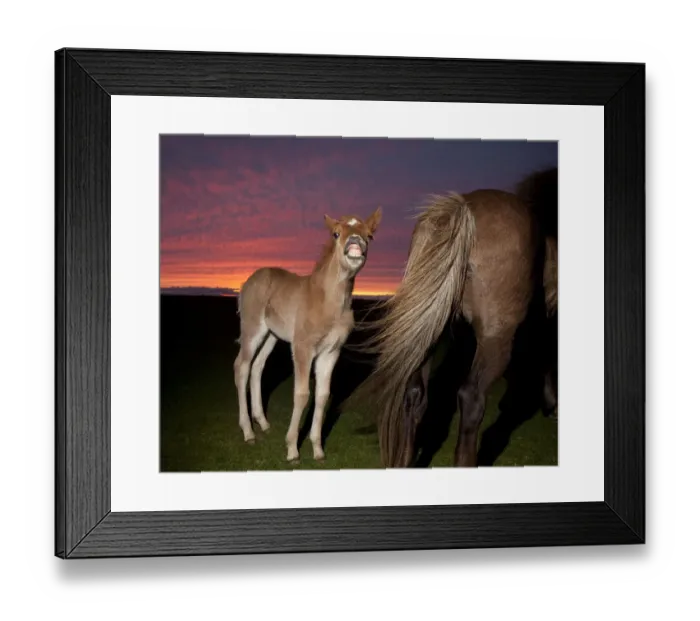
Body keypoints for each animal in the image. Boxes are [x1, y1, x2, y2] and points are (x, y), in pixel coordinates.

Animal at [234, 207, 382, 462]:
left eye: (369, 235)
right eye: (336, 233)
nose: (355, 242)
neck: (328, 303)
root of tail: (247, 283)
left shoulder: (331, 352)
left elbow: (322, 395)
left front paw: (318, 449)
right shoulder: (303, 347)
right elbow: (302, 394)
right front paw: (293, 449)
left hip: (272, 335)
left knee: (257, 367)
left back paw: (263, 423)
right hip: (253, 328)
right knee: (241, 367)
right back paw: (248, 432)